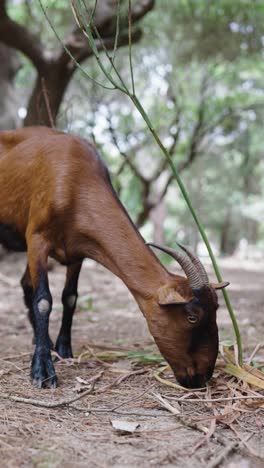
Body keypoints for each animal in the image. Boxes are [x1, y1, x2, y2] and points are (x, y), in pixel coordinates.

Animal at [0, 127, 228, 388]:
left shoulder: (76, 251)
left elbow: (70, 298)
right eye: (192, 317)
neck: (73, 179)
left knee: (26, 283)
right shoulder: (37, 239)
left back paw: (43, 340)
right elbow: (44, 301)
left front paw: (64, 350)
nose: (202, 377)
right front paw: (42, 371)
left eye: (217, 308)